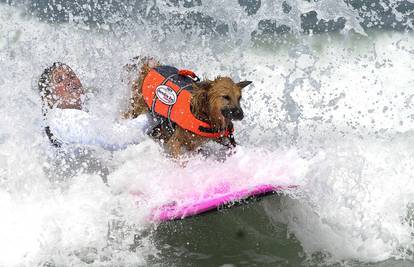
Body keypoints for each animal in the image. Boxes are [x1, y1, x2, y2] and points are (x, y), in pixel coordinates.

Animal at [123, 56, 252, 159]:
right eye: (225, 97)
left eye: (239, 98)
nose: (240, 115)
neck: (204, 115)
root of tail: (150, 68)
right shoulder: (175, 142)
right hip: (137, 107)